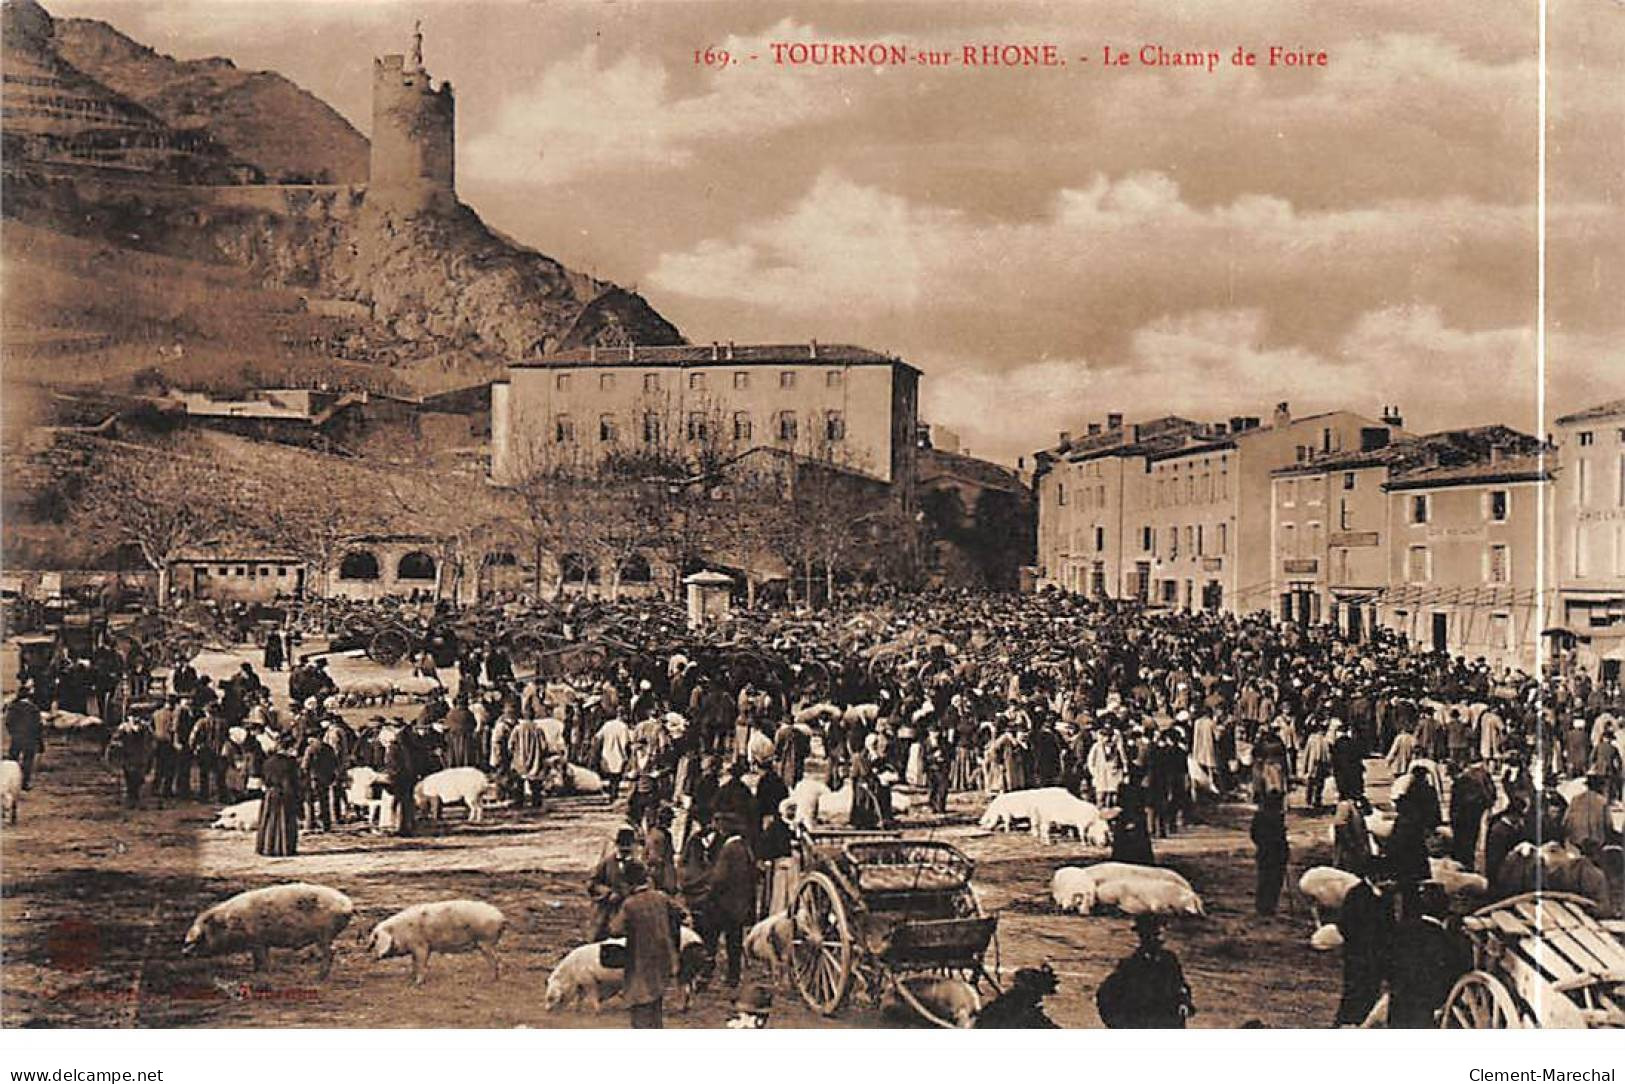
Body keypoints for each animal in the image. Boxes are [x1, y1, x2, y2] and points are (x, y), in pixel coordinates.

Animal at [184, 884, 355, 981]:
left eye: (201, 936)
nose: (184, 950)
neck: (230, 924)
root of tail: (348, 904)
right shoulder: (260, 944)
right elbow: (259, 960)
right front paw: (256, 972)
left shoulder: (257, 941)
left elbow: (261, 960)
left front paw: (262, 974)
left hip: (324, 934)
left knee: (331, 951)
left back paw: (318, 978)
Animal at [365, 897, 503, 981]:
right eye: (372, 942)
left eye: (375, 940)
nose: (372, 958)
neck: (400, 931)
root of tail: (501, 917)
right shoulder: (419, 948)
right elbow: (415, 962)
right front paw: (412, 977)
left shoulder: (420, 945)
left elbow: (420, 963)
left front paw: (417, 982)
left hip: (485, 941)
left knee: (495, 959)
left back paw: (488, 979)